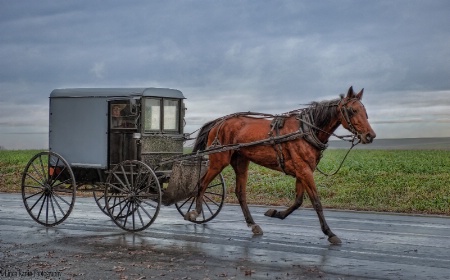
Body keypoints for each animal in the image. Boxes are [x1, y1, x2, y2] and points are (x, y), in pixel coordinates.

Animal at [186, 86, 376, 244]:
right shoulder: (304, 171)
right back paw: (195, 212)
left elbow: (298, 201)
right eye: (352, 110)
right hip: (219, 161)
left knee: (240, 193)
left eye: (365, 111)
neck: (305, 131)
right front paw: (329, 233)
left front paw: (276, 213)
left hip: (241, 162)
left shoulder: (303, 171)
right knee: (201, 185)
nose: (370, 136)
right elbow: (316, 202)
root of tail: (218, 122)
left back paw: (253, 224)